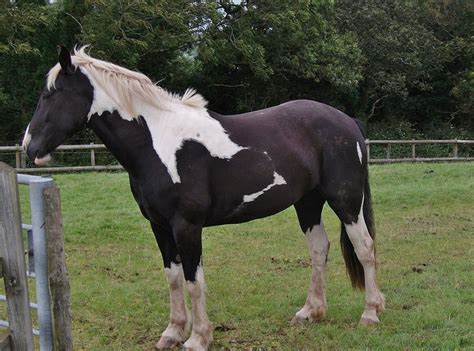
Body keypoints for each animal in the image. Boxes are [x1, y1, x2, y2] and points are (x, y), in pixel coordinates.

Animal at [23, 47, 386, 351]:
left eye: (50, 94)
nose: (29, 148)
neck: (157, 143)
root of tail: (347, 122)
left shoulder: (187, 226)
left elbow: (193, 280)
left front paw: (198, 338)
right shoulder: (159, 227)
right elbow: (172, 278)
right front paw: (172, 332)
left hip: (346, 201)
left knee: (365, 248)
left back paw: (370, 313)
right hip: (307, 203)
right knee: (319, 248)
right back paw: (310, 311)